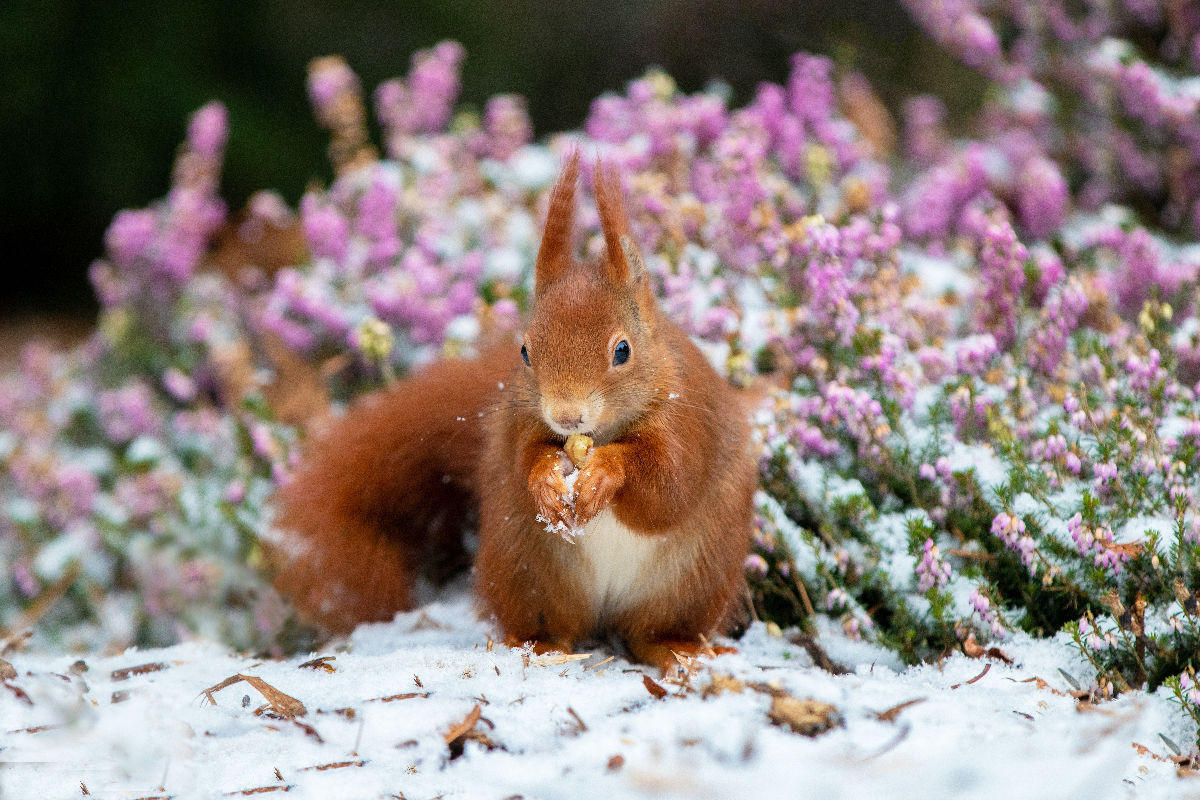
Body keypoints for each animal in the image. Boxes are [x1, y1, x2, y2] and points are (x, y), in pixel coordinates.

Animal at [276, 151, 753, 671]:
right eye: (525, 351)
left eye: (622, 351)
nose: (566, 416)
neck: (599, 434)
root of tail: (604, 615)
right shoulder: (519, 424)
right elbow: (525, 456)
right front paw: (545, 477)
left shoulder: (689, 424)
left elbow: (670, 485)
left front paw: (606, 471)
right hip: (526, 571)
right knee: (553, 626)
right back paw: (541, 647)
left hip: (693, 581)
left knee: (649, 633)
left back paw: (677, 648)